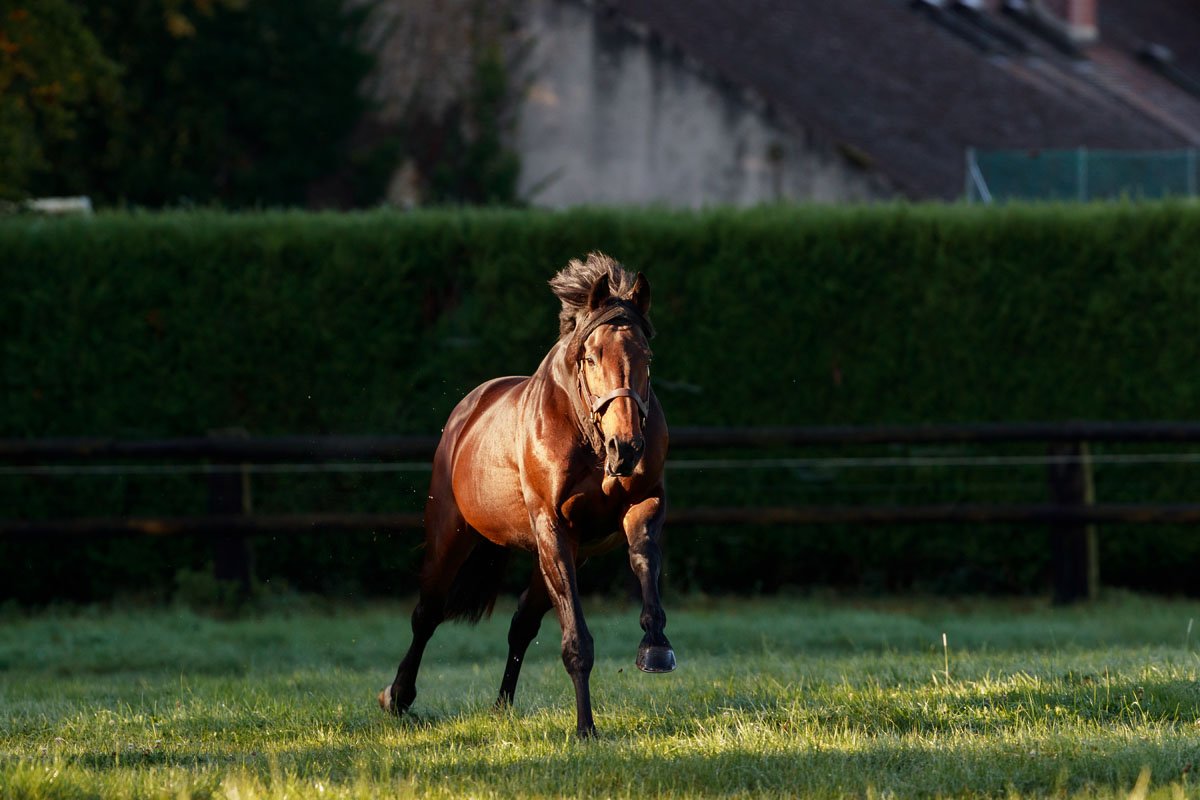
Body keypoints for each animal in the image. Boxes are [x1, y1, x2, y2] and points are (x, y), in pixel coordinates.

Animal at [378, 252, 675, 738]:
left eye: (646, 356)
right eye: (591, 356)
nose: (627, 448)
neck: (589, 436)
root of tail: (466, 412)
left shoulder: (641, 505)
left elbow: (644, 558)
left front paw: (655, 645)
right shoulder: (552, 526)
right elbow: (576, 640)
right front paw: (586, 729)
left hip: (555, 552)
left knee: (521, 623)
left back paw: (501, 706)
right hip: (451, 533)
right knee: (428, 613)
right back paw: (398, 697)